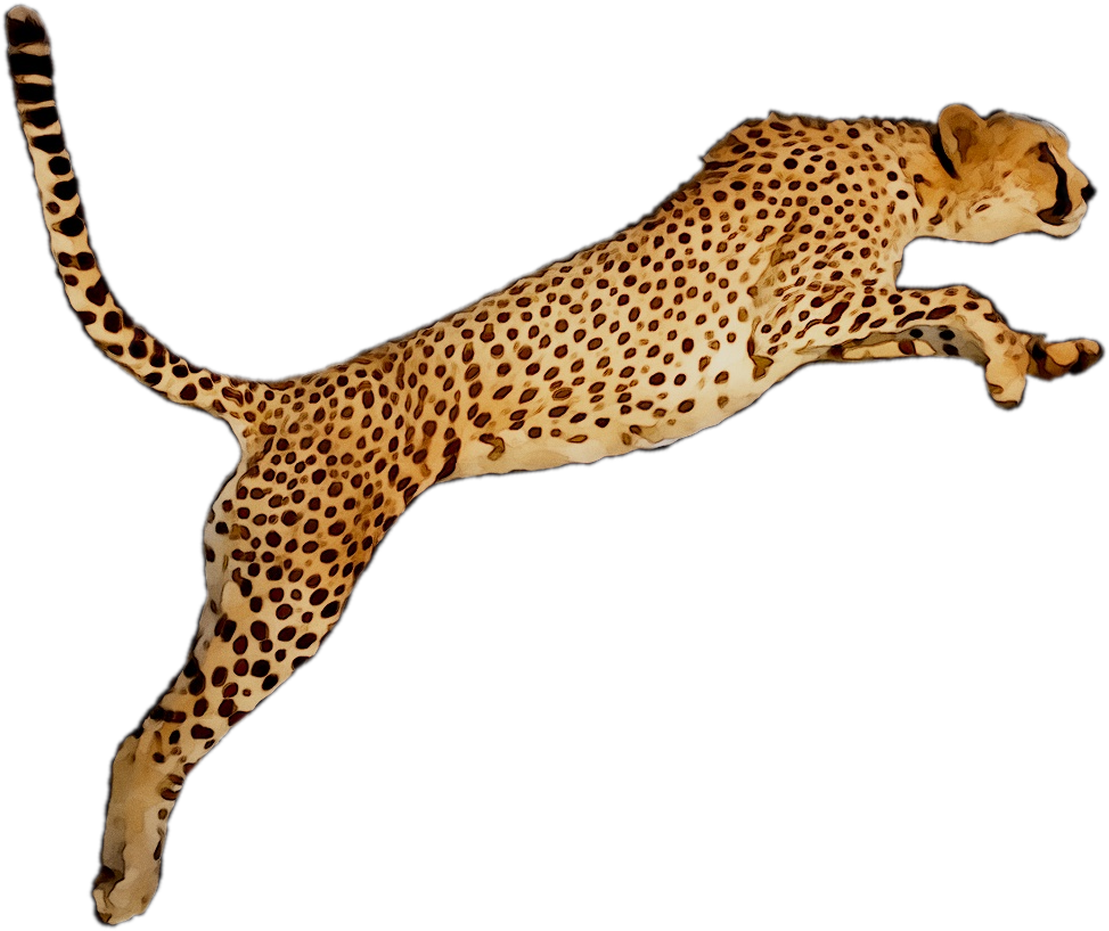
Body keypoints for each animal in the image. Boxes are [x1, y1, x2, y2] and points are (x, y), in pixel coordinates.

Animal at [6, 4, 1100, 924]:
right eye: (1045, 151)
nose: (1087, 189)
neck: (910, 168)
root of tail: (282, 393)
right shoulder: (790, 320)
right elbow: (960, 294)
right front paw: (1012, 360)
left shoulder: (821, 341)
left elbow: (945, 322)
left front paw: (1038, 355)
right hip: (292, 600)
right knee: (156, 736)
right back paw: (126, 889)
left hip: (242, 585)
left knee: (159, 728)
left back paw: (118, 866)